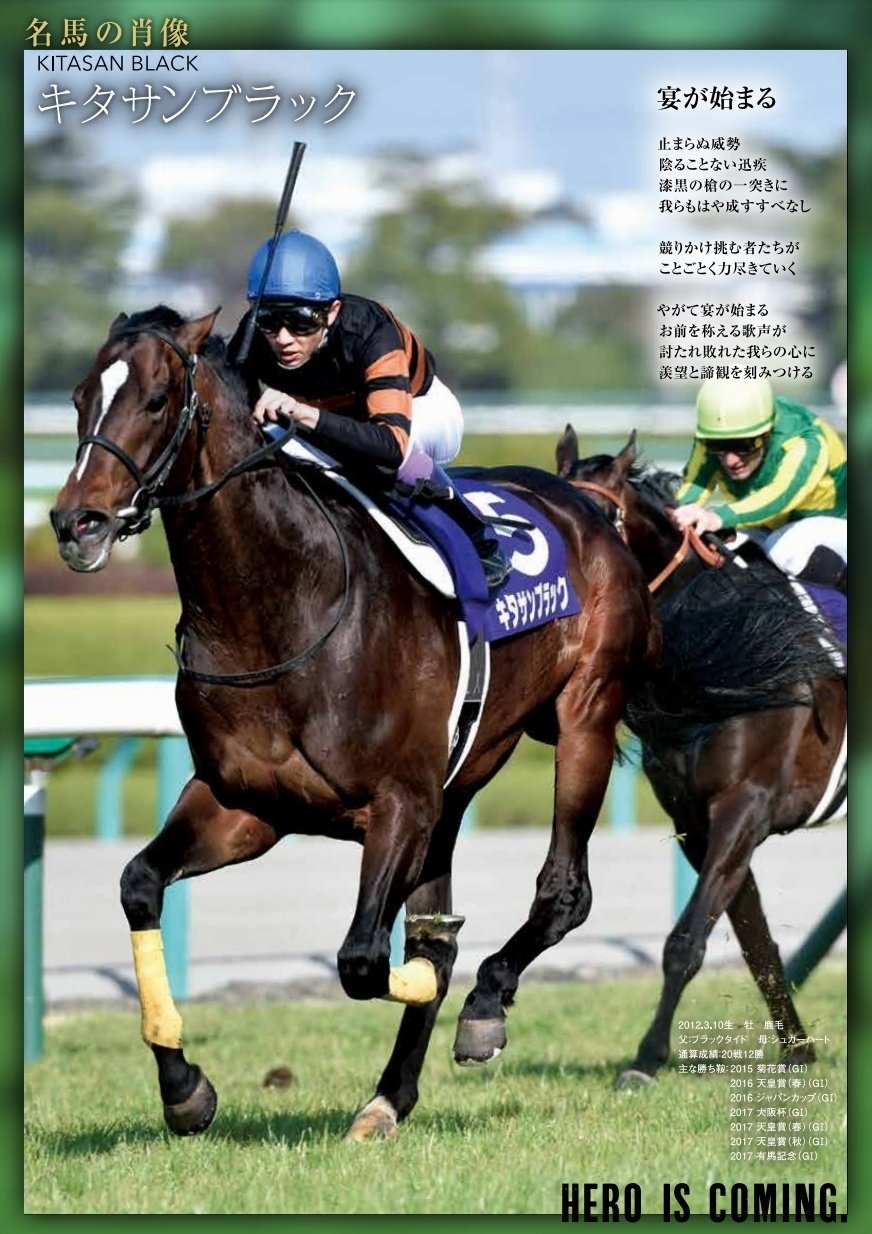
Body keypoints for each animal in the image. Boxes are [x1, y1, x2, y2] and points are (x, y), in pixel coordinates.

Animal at [48, 307, 656, 1140]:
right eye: (79, 396)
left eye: (156, 398)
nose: (75, 521)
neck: (282, 606)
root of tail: (584, 503)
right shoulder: (246, 805)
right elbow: (140, 883)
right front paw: (184, 1087)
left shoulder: (399, 802)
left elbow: (366, 960)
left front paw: (459, 999)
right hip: (457, 785)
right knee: (439, 926)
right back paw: (389, 1096)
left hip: (585, 715)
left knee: (563, 893)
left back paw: (485, 1007)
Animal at [555, 425, 846, 1087]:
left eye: (603, 518)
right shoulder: (694, 817)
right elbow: (755, 941)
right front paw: (797, 1050)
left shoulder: (746, 806)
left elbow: (685, 942)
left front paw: (645, 1059)